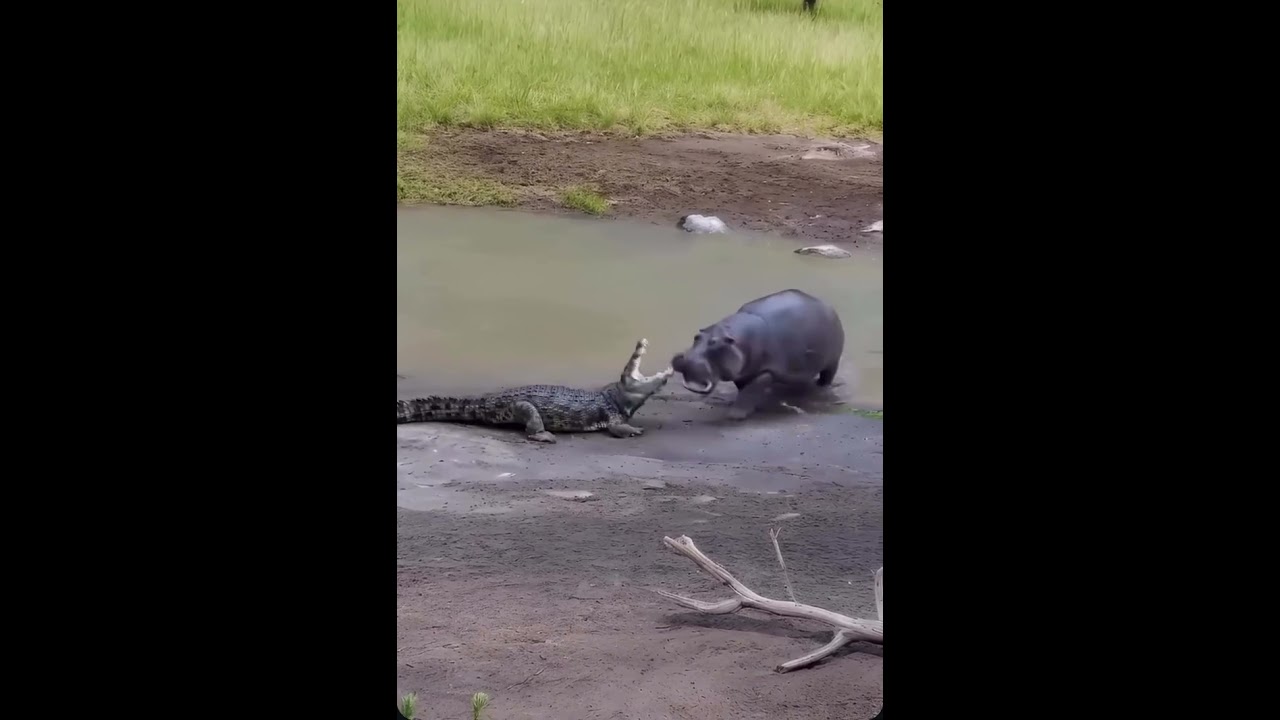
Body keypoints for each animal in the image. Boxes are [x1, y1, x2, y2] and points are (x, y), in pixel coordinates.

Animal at [671, 289, 844, 420]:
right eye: (696, 337)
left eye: (715, 344)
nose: (689, 362)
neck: (733, 337)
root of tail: (827, 305)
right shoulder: (742, 372)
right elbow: (743, 388)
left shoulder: (766, 371)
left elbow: (750, 391)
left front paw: (735, 415)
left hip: (833, 361)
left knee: (827, 375)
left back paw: (821, 387)